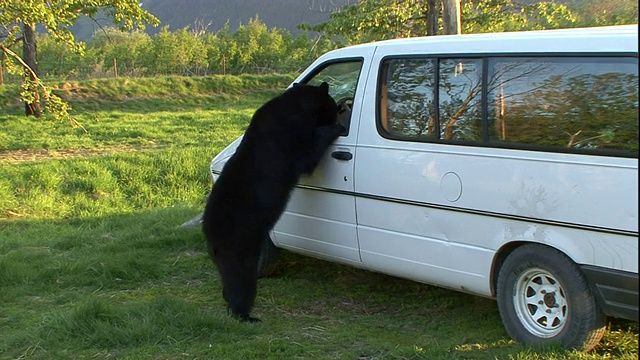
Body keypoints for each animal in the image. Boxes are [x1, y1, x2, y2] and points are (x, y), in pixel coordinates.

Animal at [204, 83, 344, 322]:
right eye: (332, 105)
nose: (339, 110)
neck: (296, 107)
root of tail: (209, 228)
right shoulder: (292, 140)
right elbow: (309, 157)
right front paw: (336, 128)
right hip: (240, 241)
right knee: (241, 278)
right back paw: (245, 315)